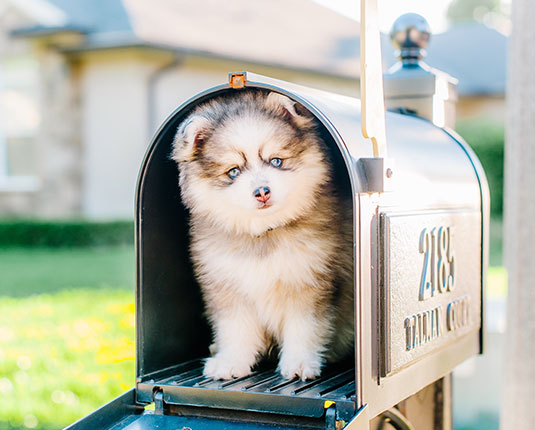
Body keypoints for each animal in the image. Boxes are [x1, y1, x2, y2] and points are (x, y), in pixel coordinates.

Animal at [174, 90, 354, 380]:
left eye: (276, 161)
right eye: (233, 171)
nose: (262, 191)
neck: (263, 233)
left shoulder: (309, 283)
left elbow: (304, 328)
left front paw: (299, 362)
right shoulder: (228, 287)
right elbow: (235, 330)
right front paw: (231, 361)